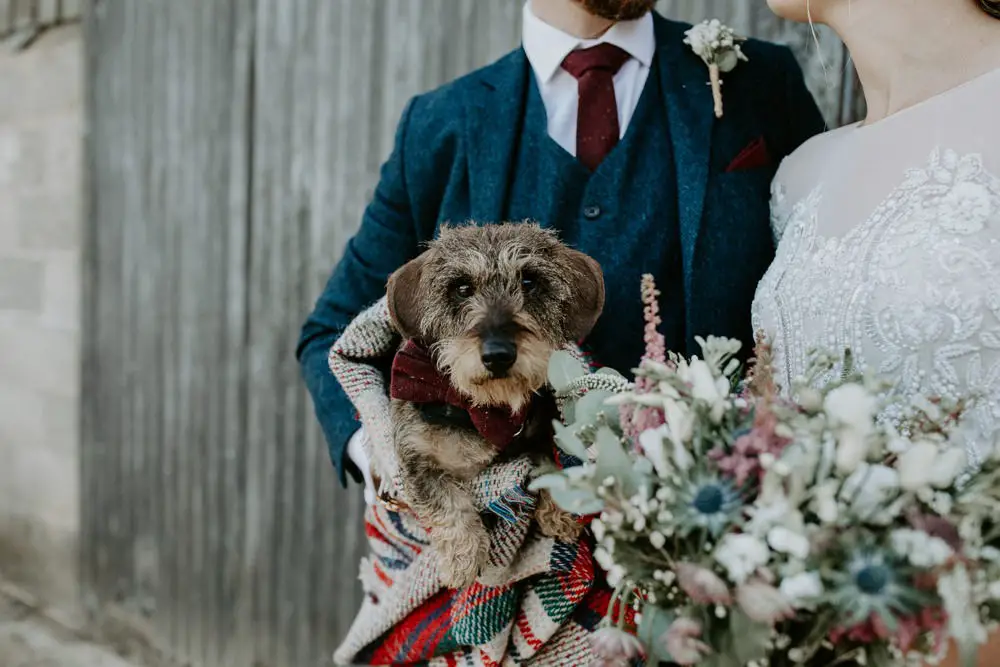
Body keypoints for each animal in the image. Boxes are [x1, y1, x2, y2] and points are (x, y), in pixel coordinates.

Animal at [386, 224, 604, 588]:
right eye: (461, 288)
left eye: (529, 282)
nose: (498, 354)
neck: (485, 410)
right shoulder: (417, 459)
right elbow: (446, 504)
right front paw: (462, 561)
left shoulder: (540, 434)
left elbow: (549, 461)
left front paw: (560, 513)